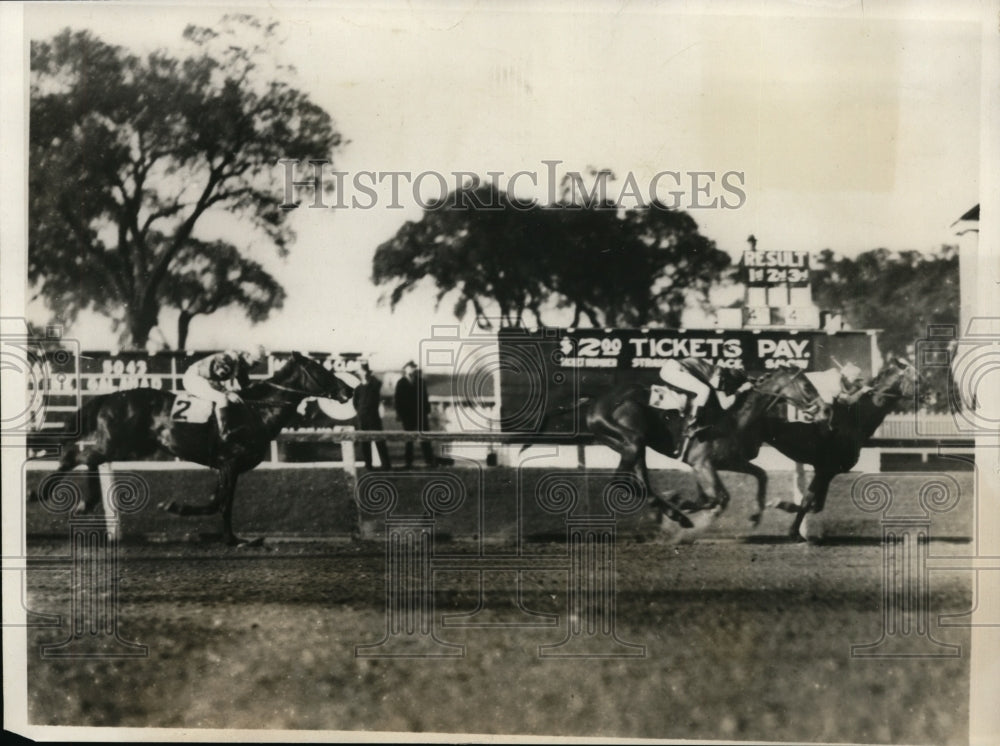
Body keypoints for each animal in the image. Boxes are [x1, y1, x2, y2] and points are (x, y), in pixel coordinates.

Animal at [33, 352, 356, 544]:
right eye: (319, 369)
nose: (348, 390)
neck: (257, 410)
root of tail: (110, 396)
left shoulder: (228, 468)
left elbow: (222, 504)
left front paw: (231, 538)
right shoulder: (229, 463)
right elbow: (218, 503)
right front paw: (177, 508)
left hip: (121, 445)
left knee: (83, 456)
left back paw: (65, 497)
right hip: (120, 443)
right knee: (81, 455)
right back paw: (61, 496)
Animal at [532, 368, 820, 528]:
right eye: (806, 385)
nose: (821, 407)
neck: (732, 418)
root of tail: (596, 400)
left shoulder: (726, 461)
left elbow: (760, 475)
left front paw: (757, 515)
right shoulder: (702, 463)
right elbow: (719, 497)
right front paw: (685, 503)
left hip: (632, 444)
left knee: (642, 482)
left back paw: (673, 513)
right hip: (629, 437)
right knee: (620, 482)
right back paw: (674, 512)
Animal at [764, 358, 920, 536]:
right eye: (916, 379)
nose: (928, 395)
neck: (853, 419)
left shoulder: (827, 470)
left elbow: (815, 506)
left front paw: (781, 505)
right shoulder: (826, 468)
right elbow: (807, 501)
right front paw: (792, 529)